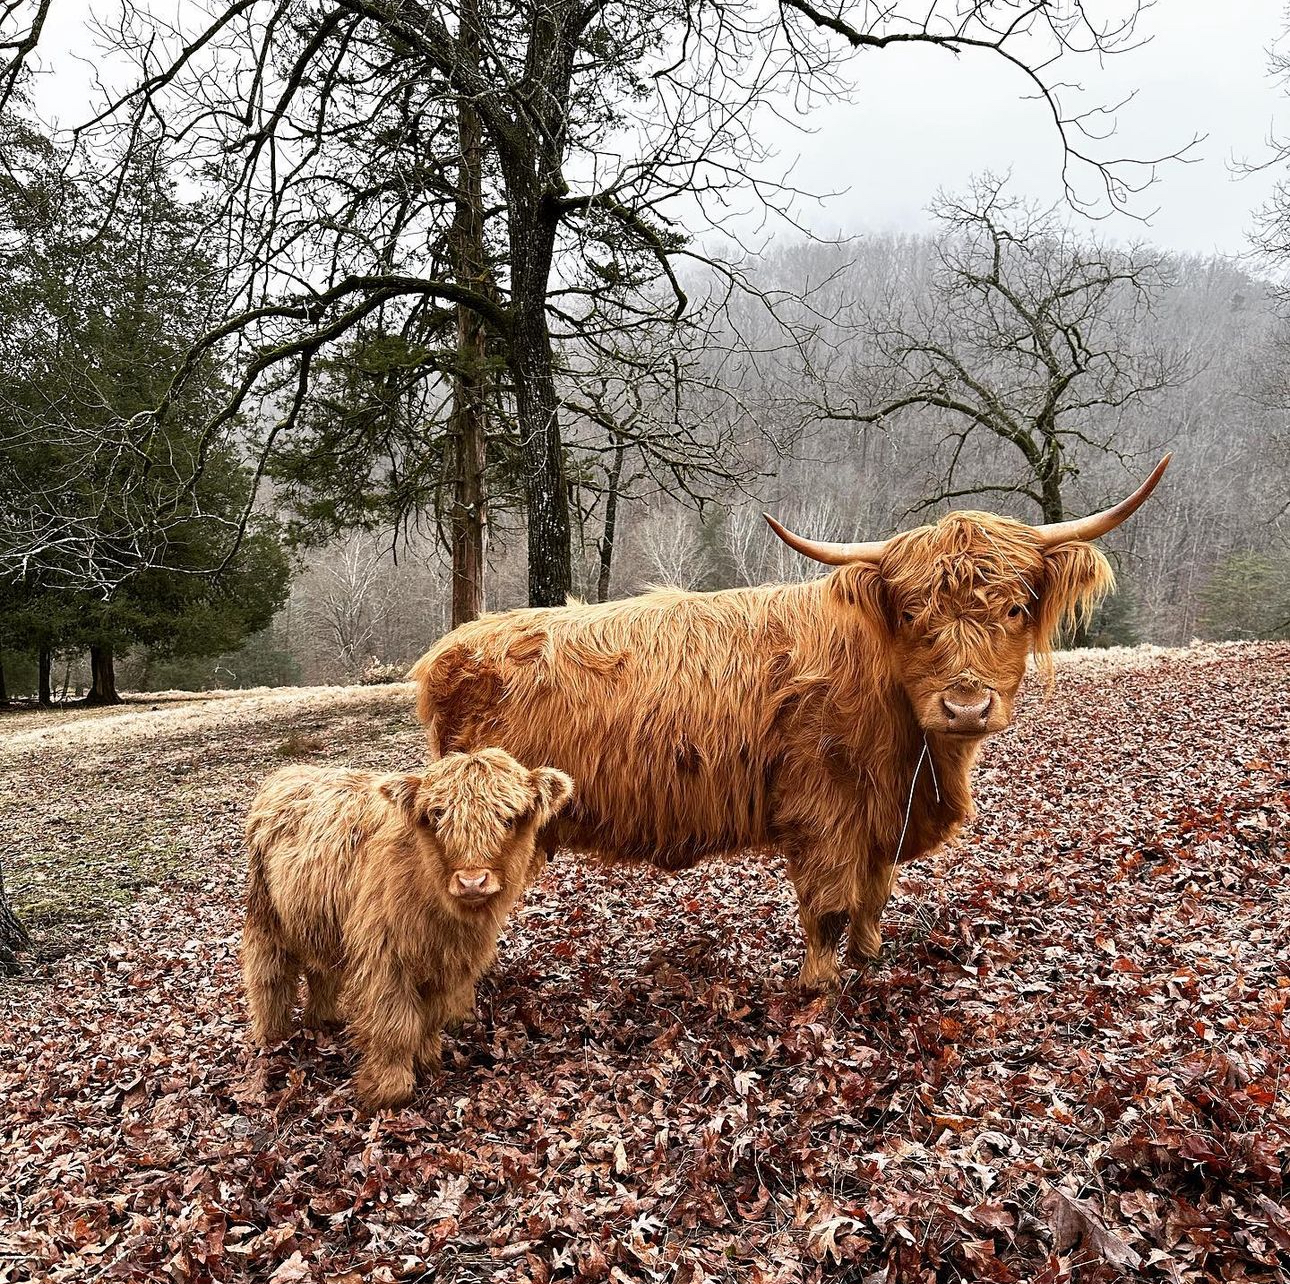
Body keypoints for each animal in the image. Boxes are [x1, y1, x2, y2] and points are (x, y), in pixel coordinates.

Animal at [242, 749, 574, 1108]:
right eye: (437, 815)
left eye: (508, 818)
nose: (472, 881)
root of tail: (288, 772)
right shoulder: (385, 960)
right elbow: (395, 1028)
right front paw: (388, 1090)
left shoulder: (444, 964)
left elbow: (428, 1020)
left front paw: (428, 1063)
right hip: (265, 915)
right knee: (269, 974)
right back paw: (273, 1037)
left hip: (319, 921)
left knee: (321, 972)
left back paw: (323, 1021)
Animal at [409, 458, 1170, 993]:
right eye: (912, 611)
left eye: (1014, 609)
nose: (965, 707)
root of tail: (450, 648)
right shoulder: (822, 809)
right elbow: (828, 905)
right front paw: (818, 987)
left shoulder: (880, 814)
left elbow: (874, 894)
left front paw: (869, 956)